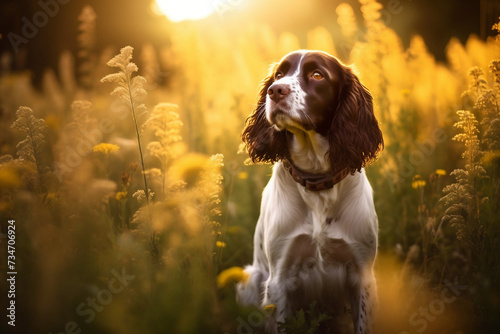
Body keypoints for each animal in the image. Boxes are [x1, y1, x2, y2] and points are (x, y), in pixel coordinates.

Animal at [236, 51, 384, 334]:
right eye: (279, 74)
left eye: (317, 75)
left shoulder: (363, 274)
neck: (316, 181)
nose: (275, 90)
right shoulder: (279, 278)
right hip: (249, 280)